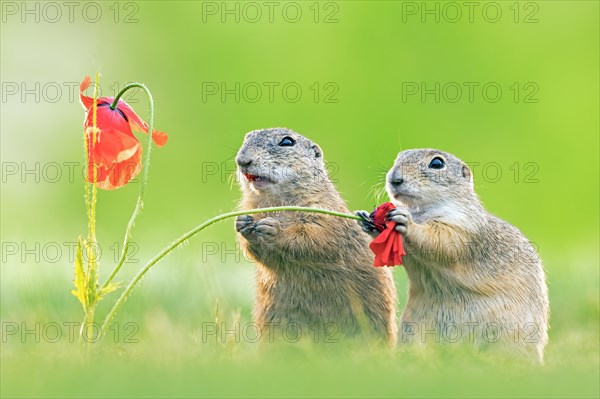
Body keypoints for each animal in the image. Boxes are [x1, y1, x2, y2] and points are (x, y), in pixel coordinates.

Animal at [234, 129, 398, 346]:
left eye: (287, 142)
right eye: (246, 138)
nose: (242, 160)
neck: (275, 202)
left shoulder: (322, 212)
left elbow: (313, 238)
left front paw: (272, 228)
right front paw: (242, 223)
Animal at [356, 149, 548, 362]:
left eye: (437, 163)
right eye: (398, 157)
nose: (394, 178)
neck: (421, 211)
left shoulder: (462, 226)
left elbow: (439, 240)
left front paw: (406, 221)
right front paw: (367, 219)